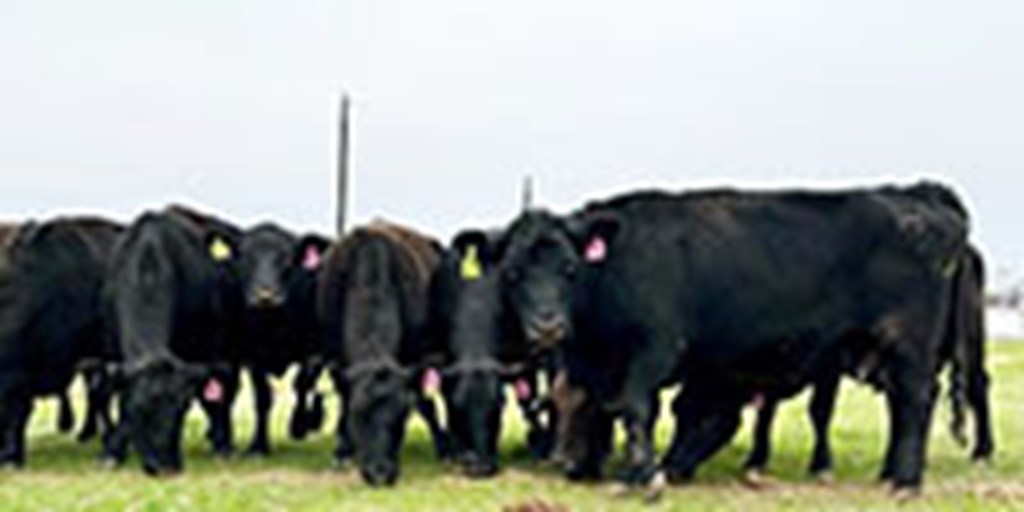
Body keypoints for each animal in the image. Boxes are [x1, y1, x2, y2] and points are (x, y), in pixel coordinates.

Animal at [101, 206, 243, 475]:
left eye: (182, 409)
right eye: (140, 410)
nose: (166, 466)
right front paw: (113, 453)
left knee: (224, 392)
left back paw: (223, 445)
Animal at [234, 222, 329, 454]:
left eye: (287, 259)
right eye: (246, 257)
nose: (265, 296)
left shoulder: (315, 353)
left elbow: (302, 384)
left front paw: (299, 425)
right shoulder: (252, 357)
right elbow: (263, 397)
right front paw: (258, 445)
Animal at [319, 222, 448, 485]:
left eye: (401, 415)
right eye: (359, 415)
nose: (380, 472)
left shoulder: (415, 362)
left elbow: (424, 402)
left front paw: (442, 445)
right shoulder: (336, 360)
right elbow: (344, 400)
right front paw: (342, 449)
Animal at [487, 184, 966, 491]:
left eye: (570, 268)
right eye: (511, 273)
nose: (547, 325)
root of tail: (919, 199)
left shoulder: (655, 350)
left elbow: (638, 407)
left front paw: (642, 474)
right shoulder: (594, 367)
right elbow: (596, 406)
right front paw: (589, 467)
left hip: (908, 345)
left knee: (915, 401)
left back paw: (905, 481)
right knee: (901, 406)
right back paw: (890, 473)